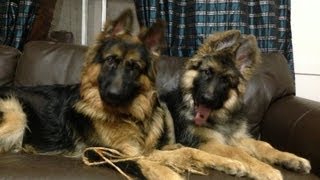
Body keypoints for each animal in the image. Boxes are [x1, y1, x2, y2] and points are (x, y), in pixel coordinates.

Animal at [0, 10, 254, 180]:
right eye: (110, 61)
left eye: (134, 67)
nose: (112, 95)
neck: (130, 117)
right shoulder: (109, 152)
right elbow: (148, 164)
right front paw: (171, 173)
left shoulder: (150, 149)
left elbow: (189, 151)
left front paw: (230, 162)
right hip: (16, 112)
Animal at [161, 30, 312, 179]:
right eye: (207, 72)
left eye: (226, 80)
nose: (207, 99)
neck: (218, 117)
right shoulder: (208, 143)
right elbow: (236, 152)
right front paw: (265, 169)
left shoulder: (237, 137)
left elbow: (263, 145)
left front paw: (292, 159)